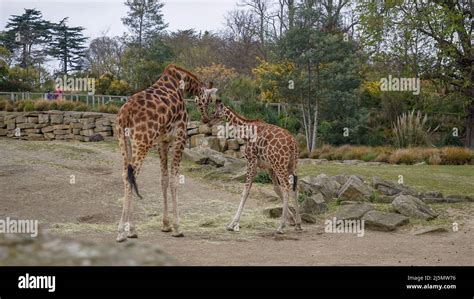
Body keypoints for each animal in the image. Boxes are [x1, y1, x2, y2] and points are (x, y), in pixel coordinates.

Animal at [115, 64, 218, 243]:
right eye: (207, 100)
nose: (206, 119)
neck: (181, 83)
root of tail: (125, 114)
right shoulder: (180, 138)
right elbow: (174, 180)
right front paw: (177, 228)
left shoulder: (162, 142)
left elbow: (163, 179)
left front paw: (166, 225)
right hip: (142, 142)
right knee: (131, 177)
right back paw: (123, 232)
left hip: (124, 142)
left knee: (126, 176)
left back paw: (131, 230)